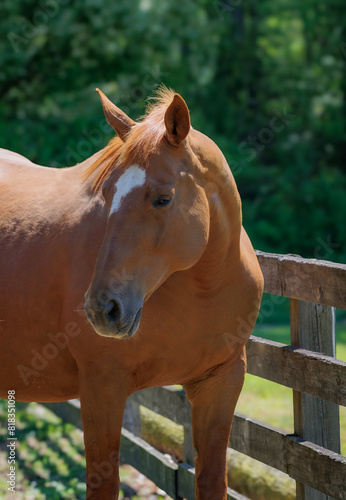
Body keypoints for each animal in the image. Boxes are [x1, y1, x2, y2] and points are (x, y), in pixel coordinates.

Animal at [0, 88, 262, 500]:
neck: (203, 288)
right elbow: (104, 484)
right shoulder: (102, 387)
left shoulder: (222, 380)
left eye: (162, 198)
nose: (101, 309)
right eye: (107, 194)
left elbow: (211, 479)